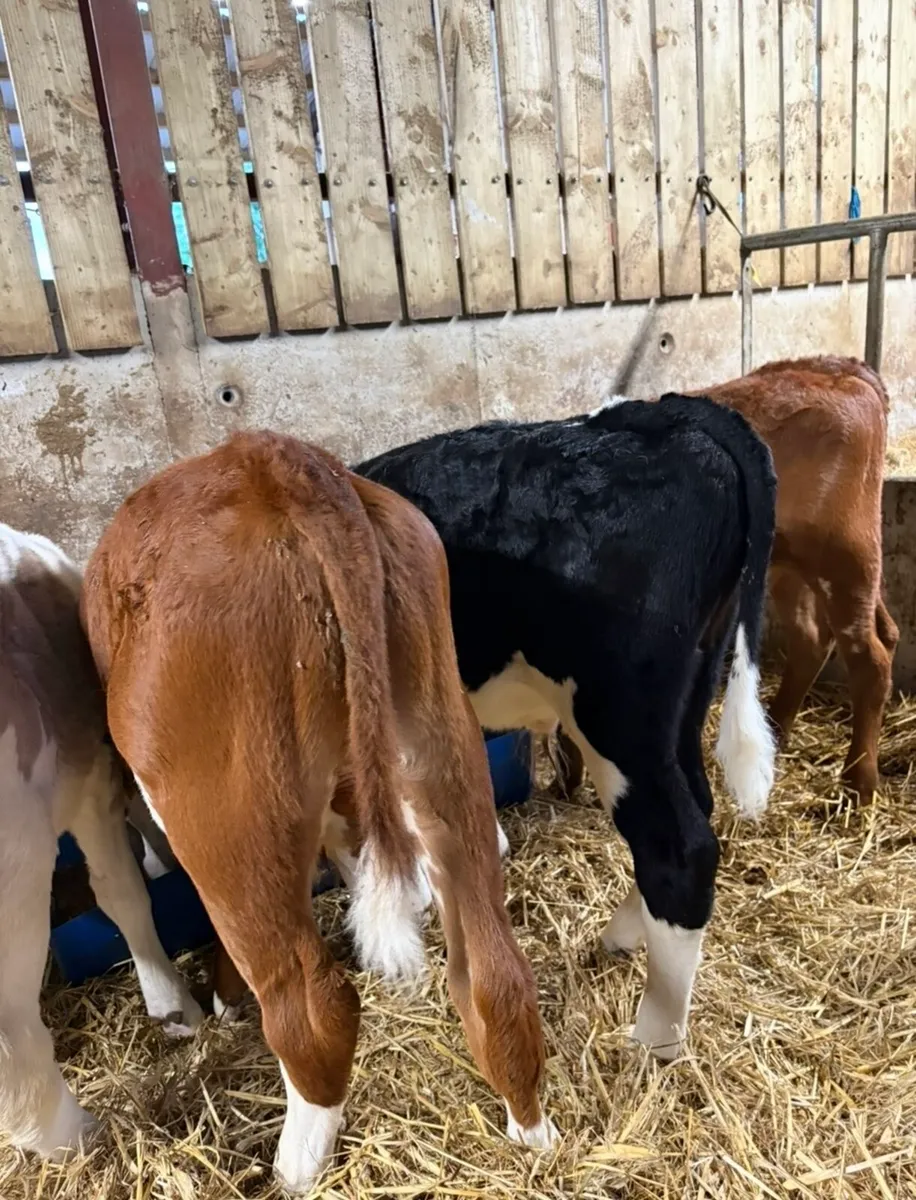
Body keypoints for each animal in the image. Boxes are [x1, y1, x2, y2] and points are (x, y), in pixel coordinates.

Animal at [81, 431, 557, 1195]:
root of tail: (273, 461)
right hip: (440, 738)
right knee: (496, 974)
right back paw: (533, 1135)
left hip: (227, 817)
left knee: (313, 1007)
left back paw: (294, 1166)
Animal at [354, 393, 778, 1061]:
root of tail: (663, 416)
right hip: (686, 694)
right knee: (696, 807)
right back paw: (623, 937)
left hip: (618, 715)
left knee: (679, 847)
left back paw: (653, 1042)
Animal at [553, 357, 898, 805]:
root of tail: (845, 369)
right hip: (792, 567)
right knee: (816, 640)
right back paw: (775, 732)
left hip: (845, 555)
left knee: (869, 659)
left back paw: (859, 781)